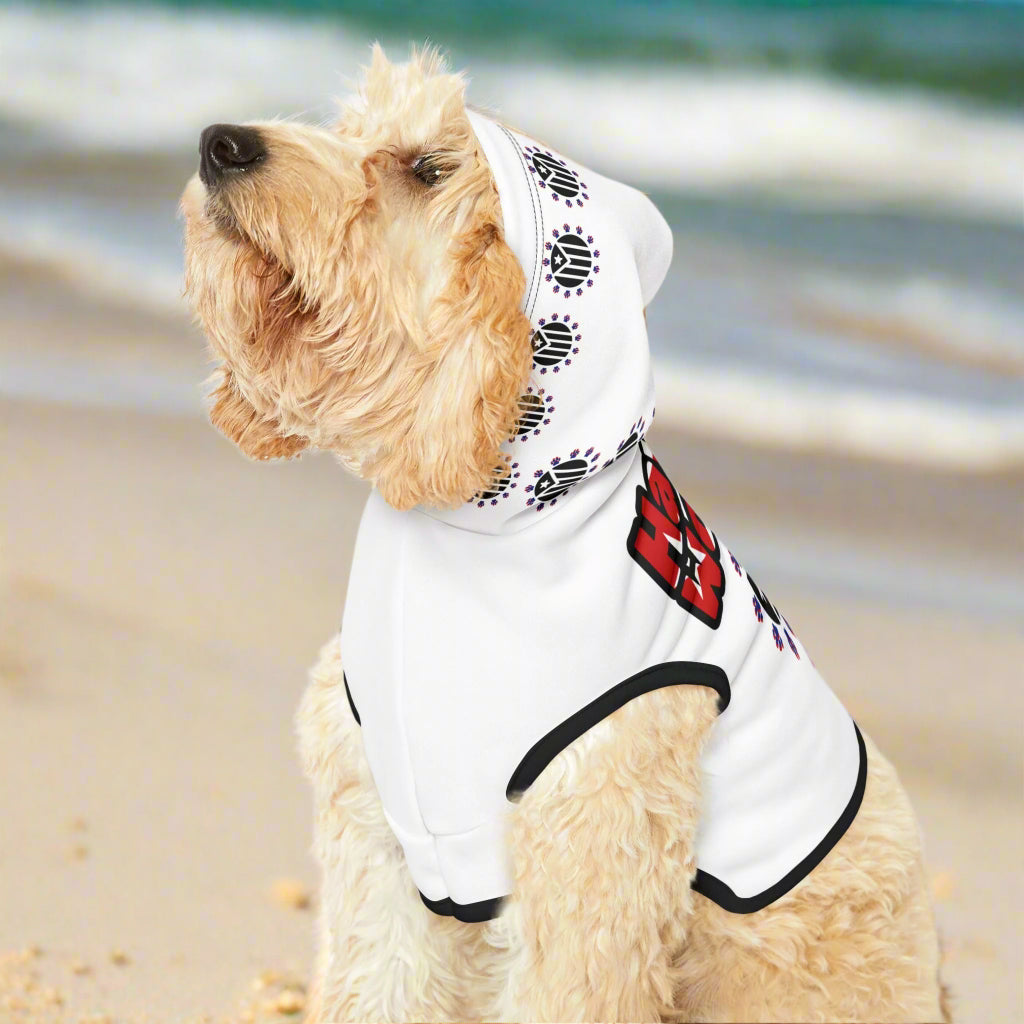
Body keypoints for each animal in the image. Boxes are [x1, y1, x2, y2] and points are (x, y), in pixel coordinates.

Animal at [181, 44, 949, 1023]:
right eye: (350, 132)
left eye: (427, 169)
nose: (220, 142)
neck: (483, 521)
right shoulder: (380, 829)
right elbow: (379, 983)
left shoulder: (587, 855)